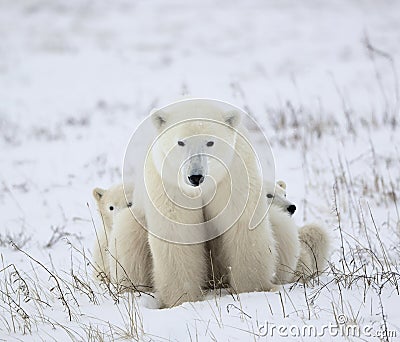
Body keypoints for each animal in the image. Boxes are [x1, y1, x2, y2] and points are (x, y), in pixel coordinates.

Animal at [134, 98, 278, 308]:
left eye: (210, 142)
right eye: (181, 142)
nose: (195, 176)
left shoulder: (233, 175)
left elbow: (242, 228)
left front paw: (252, 289)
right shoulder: (169, 184)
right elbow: (178, 233)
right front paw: (182, 299)